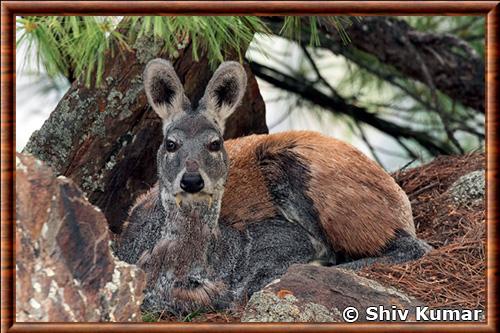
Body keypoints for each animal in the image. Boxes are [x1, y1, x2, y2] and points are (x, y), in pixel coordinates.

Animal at [113, 59, 430, 312]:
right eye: (171, 143)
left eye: (215, 143)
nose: (191, 180)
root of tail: (400, 199)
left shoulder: (282, 238)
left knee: (414, 246)